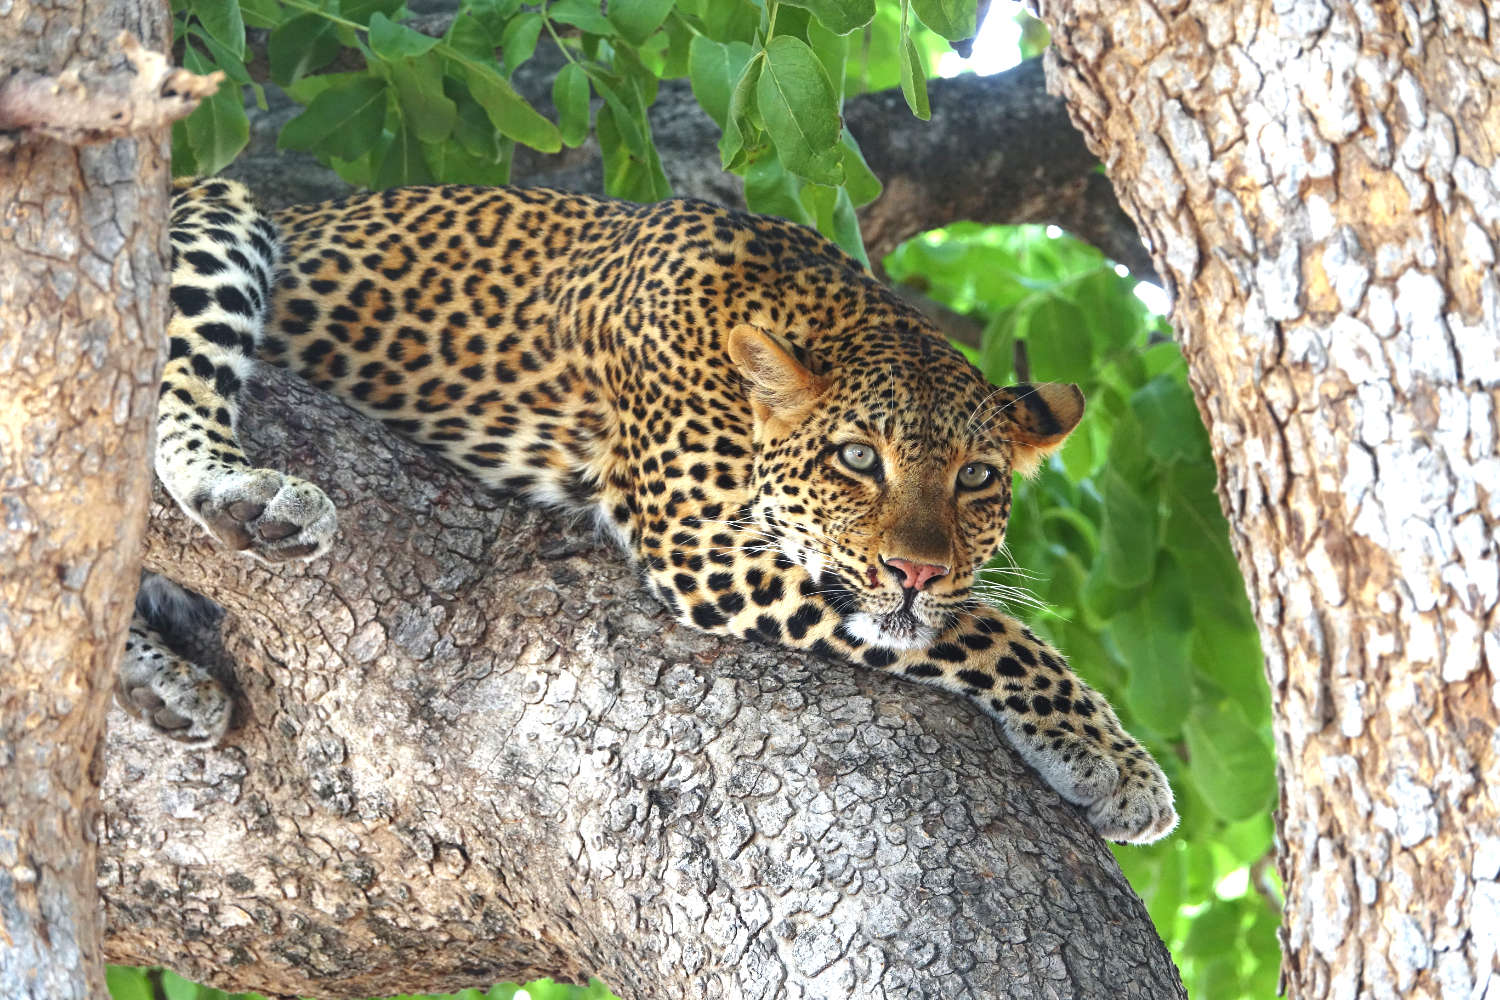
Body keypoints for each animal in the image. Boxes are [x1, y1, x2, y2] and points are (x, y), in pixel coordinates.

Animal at [123, 177, 1176, 845]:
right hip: (213, 211)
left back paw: (162, 687)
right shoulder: (699, 542)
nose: (917, 569)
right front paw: (1115, 761)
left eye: (977, 479)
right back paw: (248, 498)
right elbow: (990, 632)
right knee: (171, 398)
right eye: (856, 459)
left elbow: (960, 618)